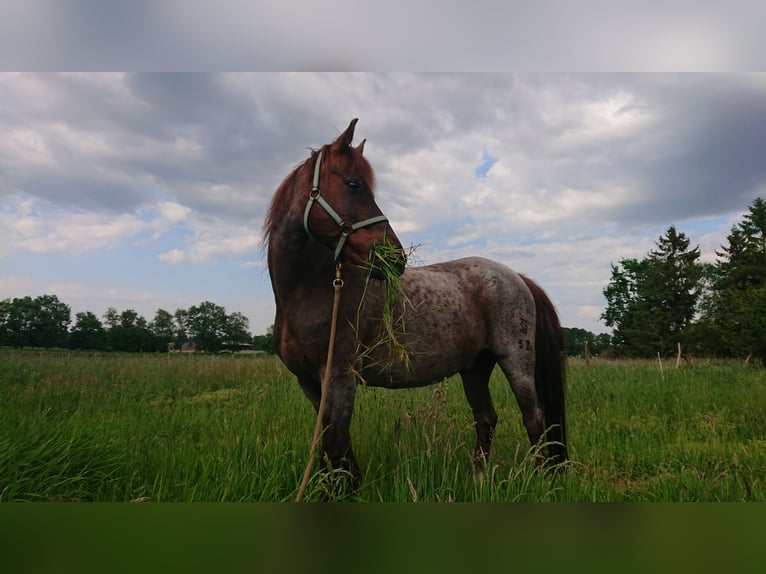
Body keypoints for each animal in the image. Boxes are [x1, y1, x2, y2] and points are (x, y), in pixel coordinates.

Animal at [264, 118, 567, 490]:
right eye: (354, 184)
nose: (395, 256)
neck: (308, 291)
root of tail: (518, 277)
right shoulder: (309, 382)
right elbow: (329, 445)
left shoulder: (339, 376)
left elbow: (336, 443)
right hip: (475, 368)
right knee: (486, 418)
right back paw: (478, 478)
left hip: (517, 362)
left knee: (534, 417)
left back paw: (542, 479)